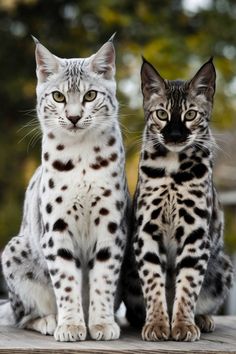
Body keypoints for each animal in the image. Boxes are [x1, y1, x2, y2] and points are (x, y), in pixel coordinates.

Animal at [0, 35, 129, 340]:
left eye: (90, 96)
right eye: (58, 97)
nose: (73, 117)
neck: (80, 152)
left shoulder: (111, 226)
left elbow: (103, 278)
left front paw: (101, 323)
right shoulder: (57, 228)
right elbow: (66, 281)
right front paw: (71, 325)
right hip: (15, 247)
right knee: (19, 315)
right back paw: (48, 320)